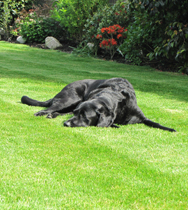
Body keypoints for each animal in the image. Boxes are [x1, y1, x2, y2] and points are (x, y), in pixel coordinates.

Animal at [21, 78, 176, 132]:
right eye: (79, 114)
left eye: (84, 115)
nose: (66, 124)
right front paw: (114, 125)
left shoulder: (141, 117)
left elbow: (154, 123)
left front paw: (170, 129)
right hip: (70, 99)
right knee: (50, 107)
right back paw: (42, 113)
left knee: (59, 112)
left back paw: (51, 115)